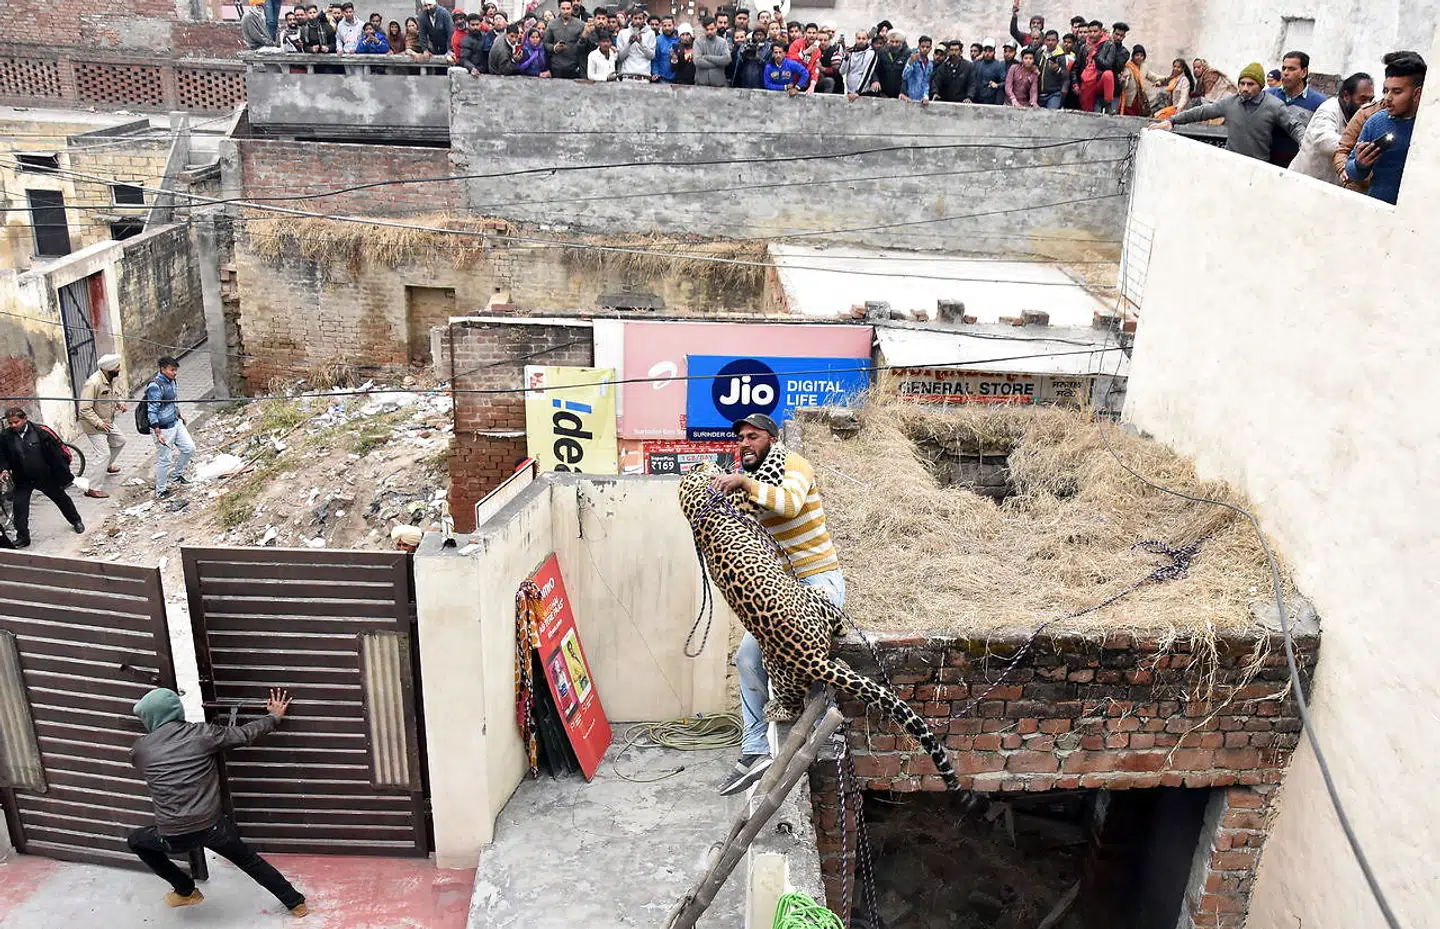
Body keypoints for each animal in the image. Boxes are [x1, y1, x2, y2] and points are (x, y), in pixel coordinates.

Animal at [678, 462, 960, 791]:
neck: (692, 499)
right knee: (798, 697)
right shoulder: (740, 503)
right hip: (811, 603)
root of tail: (812, 659)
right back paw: (777, 704)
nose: (716, 462)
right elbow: (762, 484)